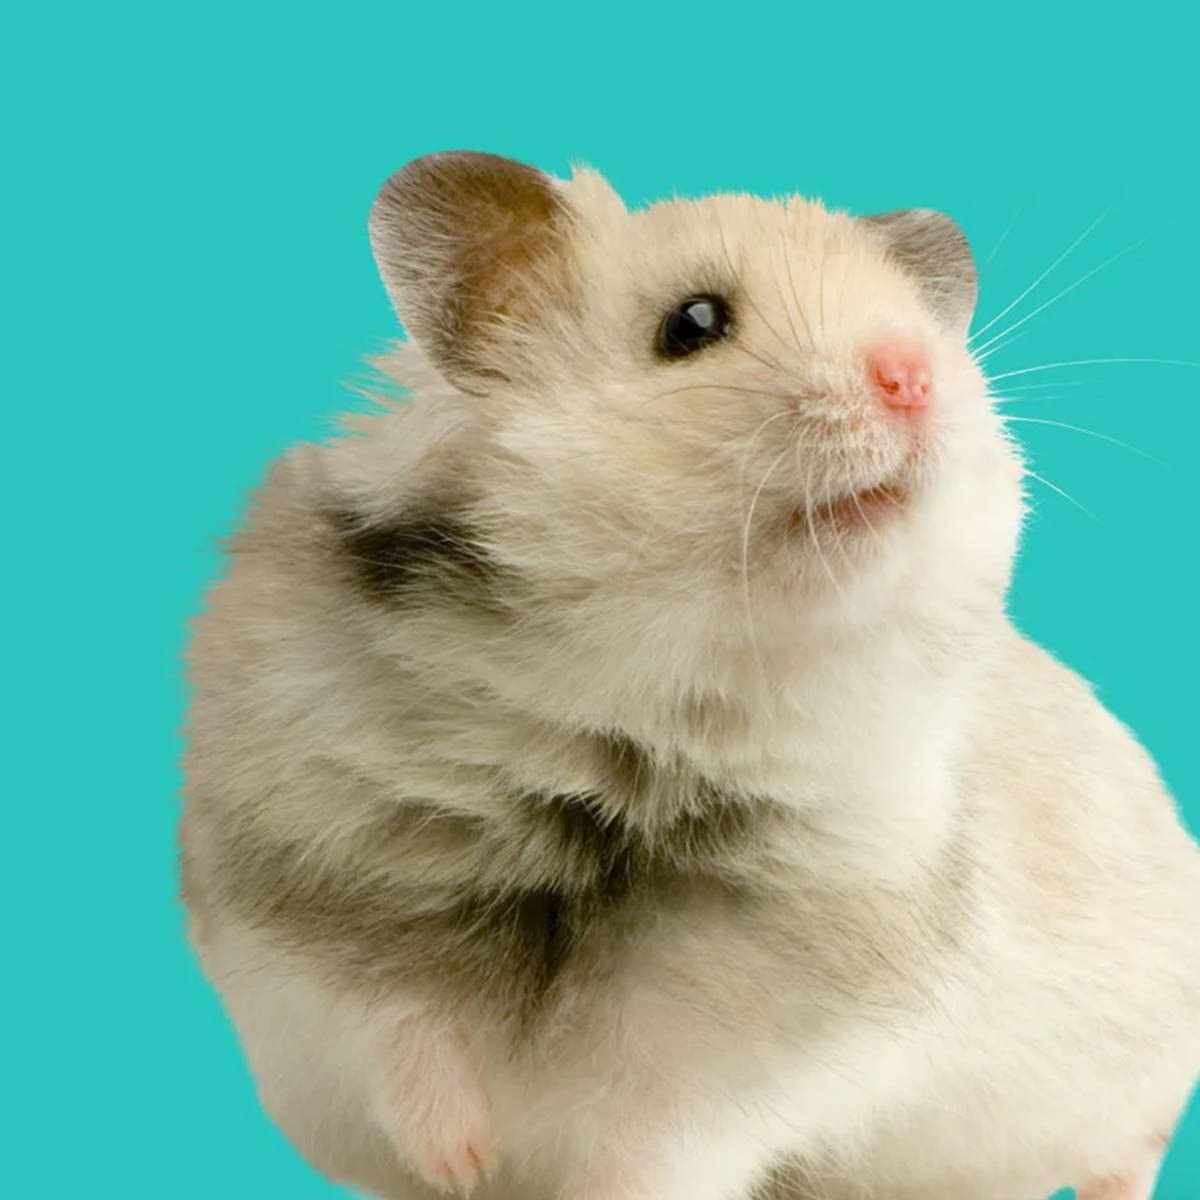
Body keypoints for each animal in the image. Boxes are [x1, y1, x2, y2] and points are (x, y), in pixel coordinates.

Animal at [179, 151, 1200, 1200]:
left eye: (921, 327)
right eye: (695, 324)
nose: (915, 376)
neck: (627, 716)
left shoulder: (771, 1025)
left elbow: (655, 1137)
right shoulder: (294, 892)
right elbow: (395, 1026)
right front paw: (464, 1162)